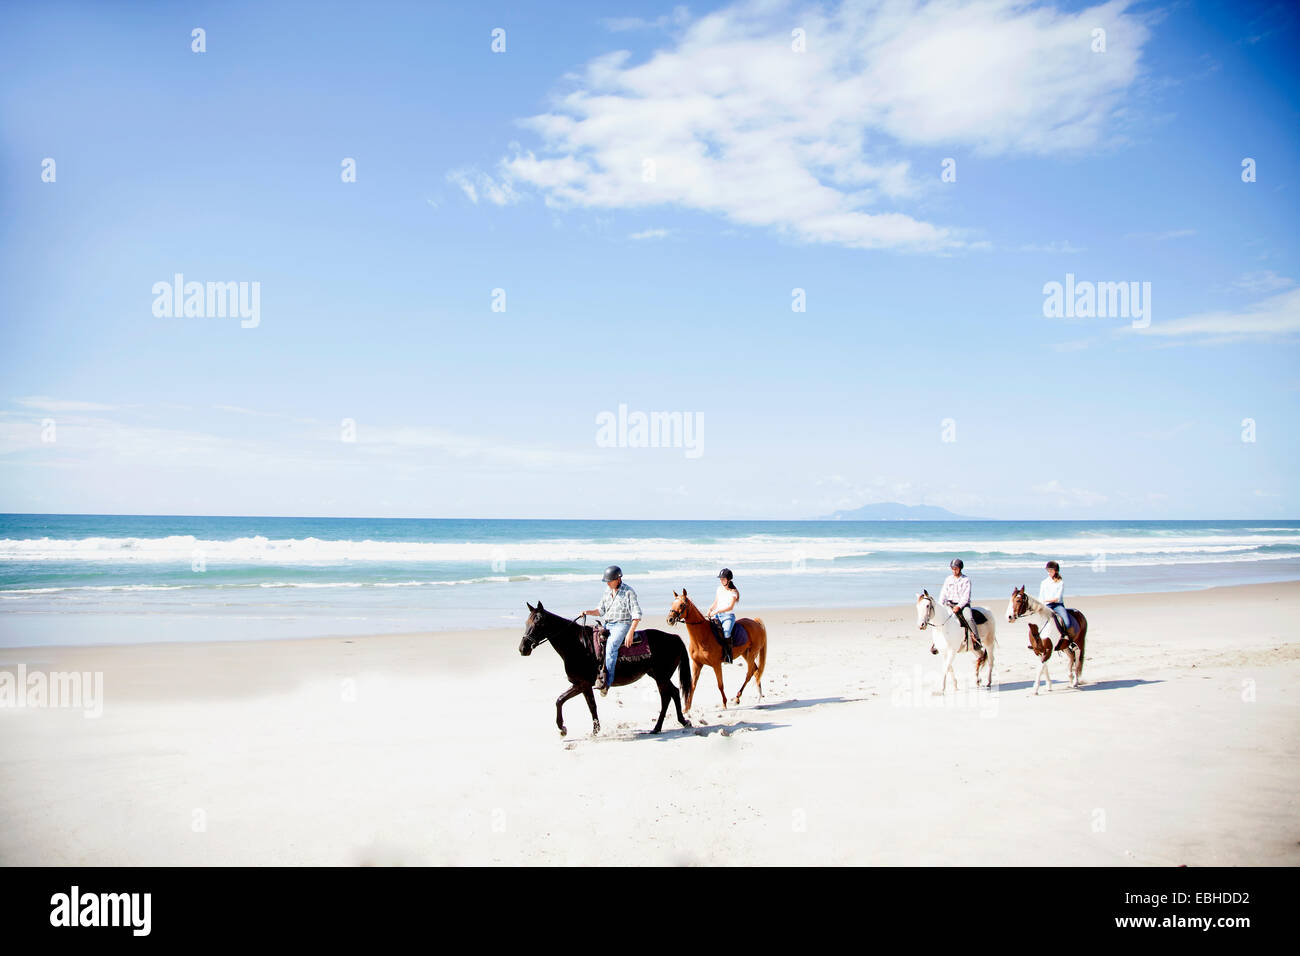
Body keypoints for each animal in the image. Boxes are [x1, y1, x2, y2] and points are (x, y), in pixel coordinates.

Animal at [522, 600, 696, 738]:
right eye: (526, 623)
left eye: (538, 623)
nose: (523, 648)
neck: (578, 644)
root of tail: (674, 638)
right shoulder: (581, 684)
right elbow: (569, 702)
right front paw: (573, 729)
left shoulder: (583, 684)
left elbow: (580, 703)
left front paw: (572, 729)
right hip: (658, 675)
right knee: (674, 692)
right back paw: (680, 722)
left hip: (661, 677)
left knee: (666, 697)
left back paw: (659, 727)